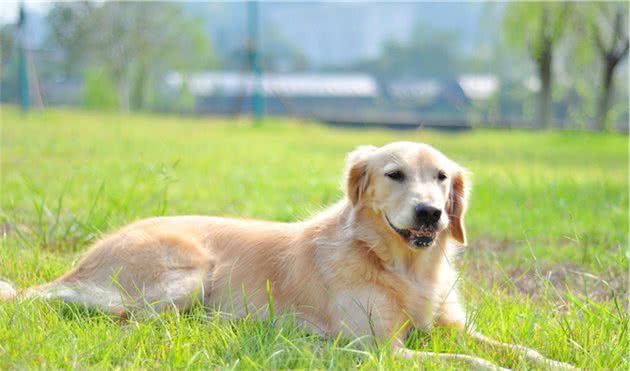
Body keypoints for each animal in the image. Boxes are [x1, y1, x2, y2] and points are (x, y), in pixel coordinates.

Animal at [0, 142, 576, 370]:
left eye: (440, 178)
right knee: (132, 321)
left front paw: (558, 361)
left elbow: (515, 349)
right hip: (192, 271)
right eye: (394, 174)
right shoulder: (382, 350)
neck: (403, 268)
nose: (431, 213)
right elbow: (473, 360)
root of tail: (78, 264)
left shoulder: (450, 327)